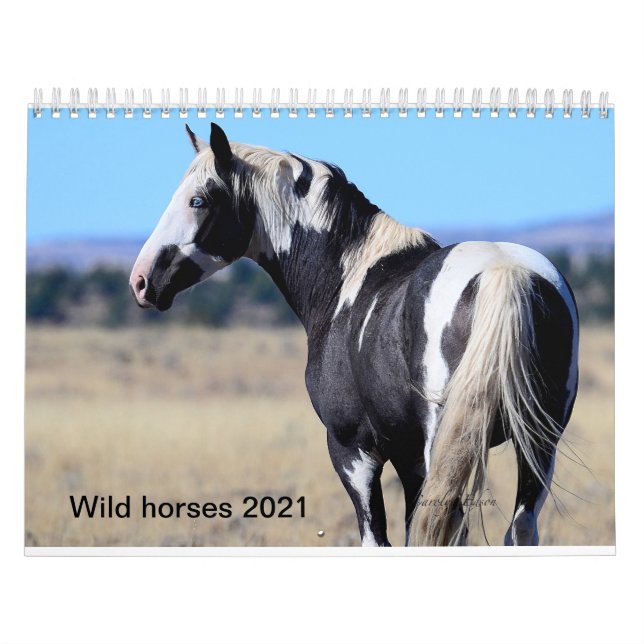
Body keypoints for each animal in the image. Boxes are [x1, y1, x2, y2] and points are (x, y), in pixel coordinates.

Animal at [129, 123, 579, 547]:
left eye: (198, 201)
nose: (141, 281)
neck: (347, 277)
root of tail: (505, 271)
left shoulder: (352, 452)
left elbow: (376, 537)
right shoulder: (409, 458)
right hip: (537, 444)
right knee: (520, 529)